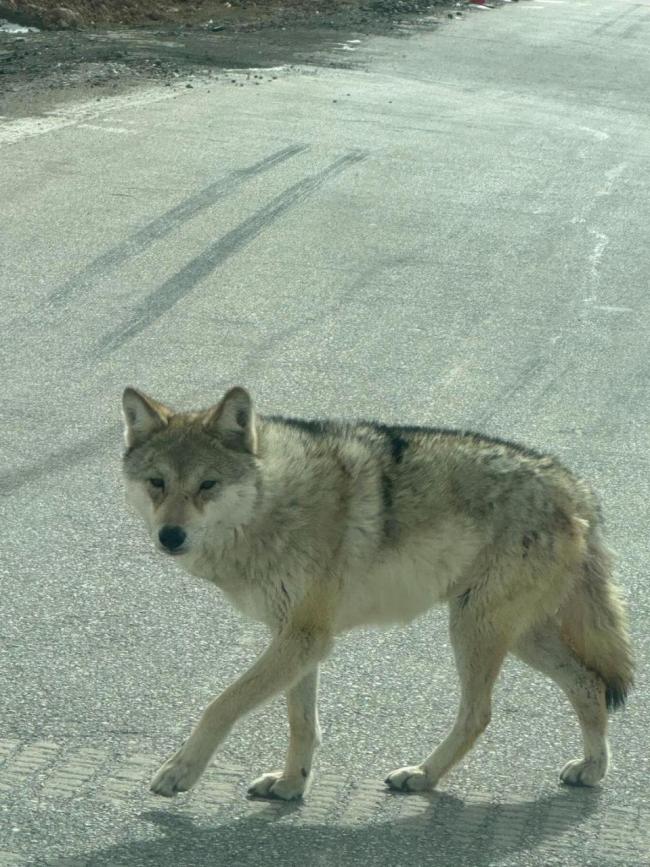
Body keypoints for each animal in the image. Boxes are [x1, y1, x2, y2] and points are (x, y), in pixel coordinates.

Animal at [121, 386, 632, 800]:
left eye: (207, 485)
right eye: (157, 483)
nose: (170, 536)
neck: (276, 504)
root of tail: (575, 486)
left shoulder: (304, 638)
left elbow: (220, 705)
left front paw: (180, 771)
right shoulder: (299, 640)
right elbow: (301, 724)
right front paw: (290, 785)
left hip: (474, 629)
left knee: (480, 714)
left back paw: (423, 776)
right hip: (519, 636)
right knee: (589, 684)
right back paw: (591, 769)